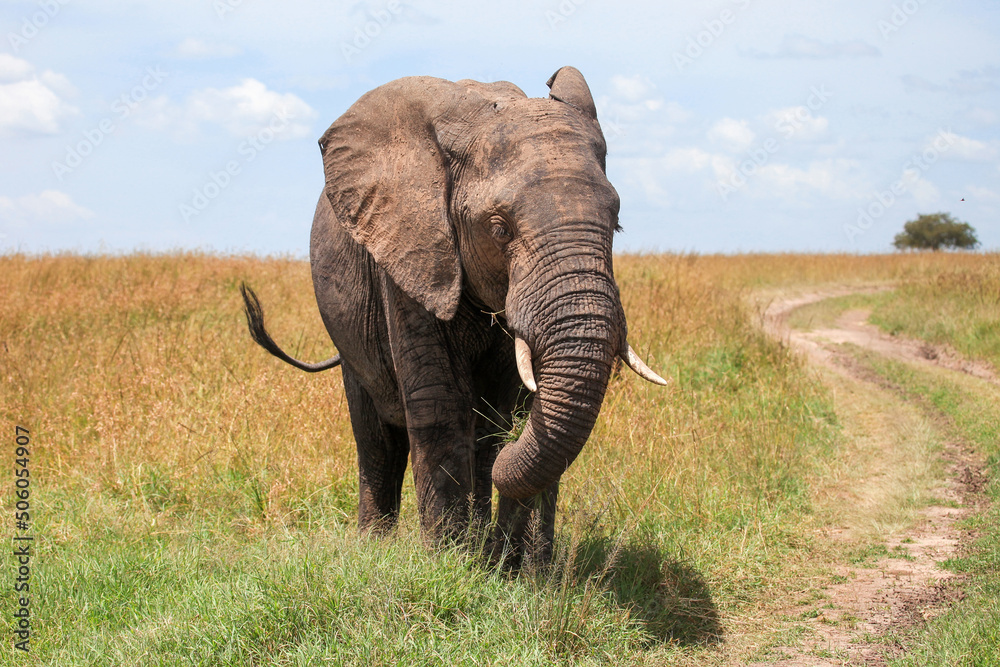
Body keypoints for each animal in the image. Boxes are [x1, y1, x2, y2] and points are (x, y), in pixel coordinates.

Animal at [240, 66, 666, 566]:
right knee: (377, 439)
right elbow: (440, 404)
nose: (516, 438)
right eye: (499, 229)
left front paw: (509, 566)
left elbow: (501, 410)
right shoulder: (410, 250)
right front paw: (449, 562)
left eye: (617, 223)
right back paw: (376, 548)